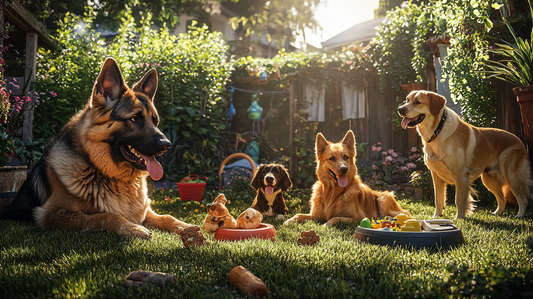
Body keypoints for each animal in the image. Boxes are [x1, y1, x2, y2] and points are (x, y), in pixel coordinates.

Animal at [0, 58, 203, 240]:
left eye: (155, 121)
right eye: (135, 119)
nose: (166, 145)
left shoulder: (145, 211)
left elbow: (168, 217)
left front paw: (186, 227)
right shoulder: (50, 214)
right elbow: (107, 215)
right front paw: (132, 228)